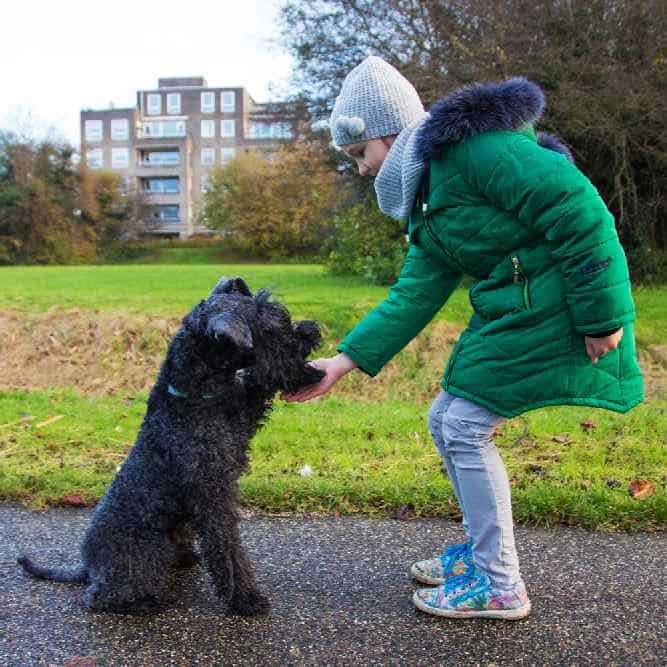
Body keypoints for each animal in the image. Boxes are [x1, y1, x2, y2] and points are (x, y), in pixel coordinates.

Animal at [17, 276, 324, 616]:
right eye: (268, 328)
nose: (310, 329)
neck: (193, 395)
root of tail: (89, 565)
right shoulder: (214, 498)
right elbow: (228, 551)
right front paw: (245, 599)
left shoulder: (243, 420)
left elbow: (258, 385)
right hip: (144, 556)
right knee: (97, 597)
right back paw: (145, 602)